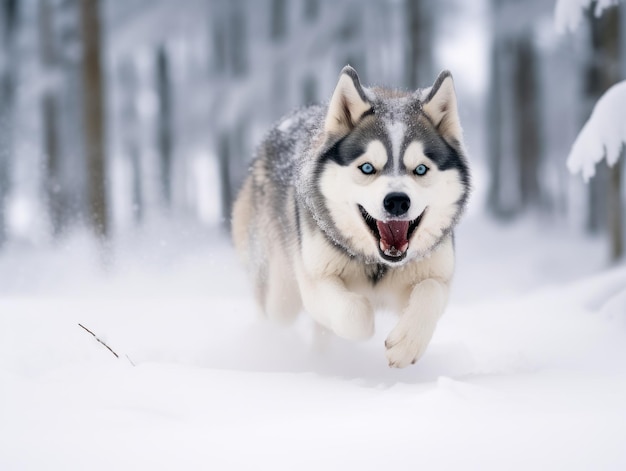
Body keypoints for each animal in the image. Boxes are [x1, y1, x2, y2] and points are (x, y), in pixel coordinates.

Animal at [233, 66, 468, 368]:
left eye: (420, 169)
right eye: (367, 167)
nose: (397, 201)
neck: (378, 265)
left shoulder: (436, 274)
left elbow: (430, 291)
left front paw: (406, 345)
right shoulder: (316, 278)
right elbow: (352, 311)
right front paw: (364, 326)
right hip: (280, 291)